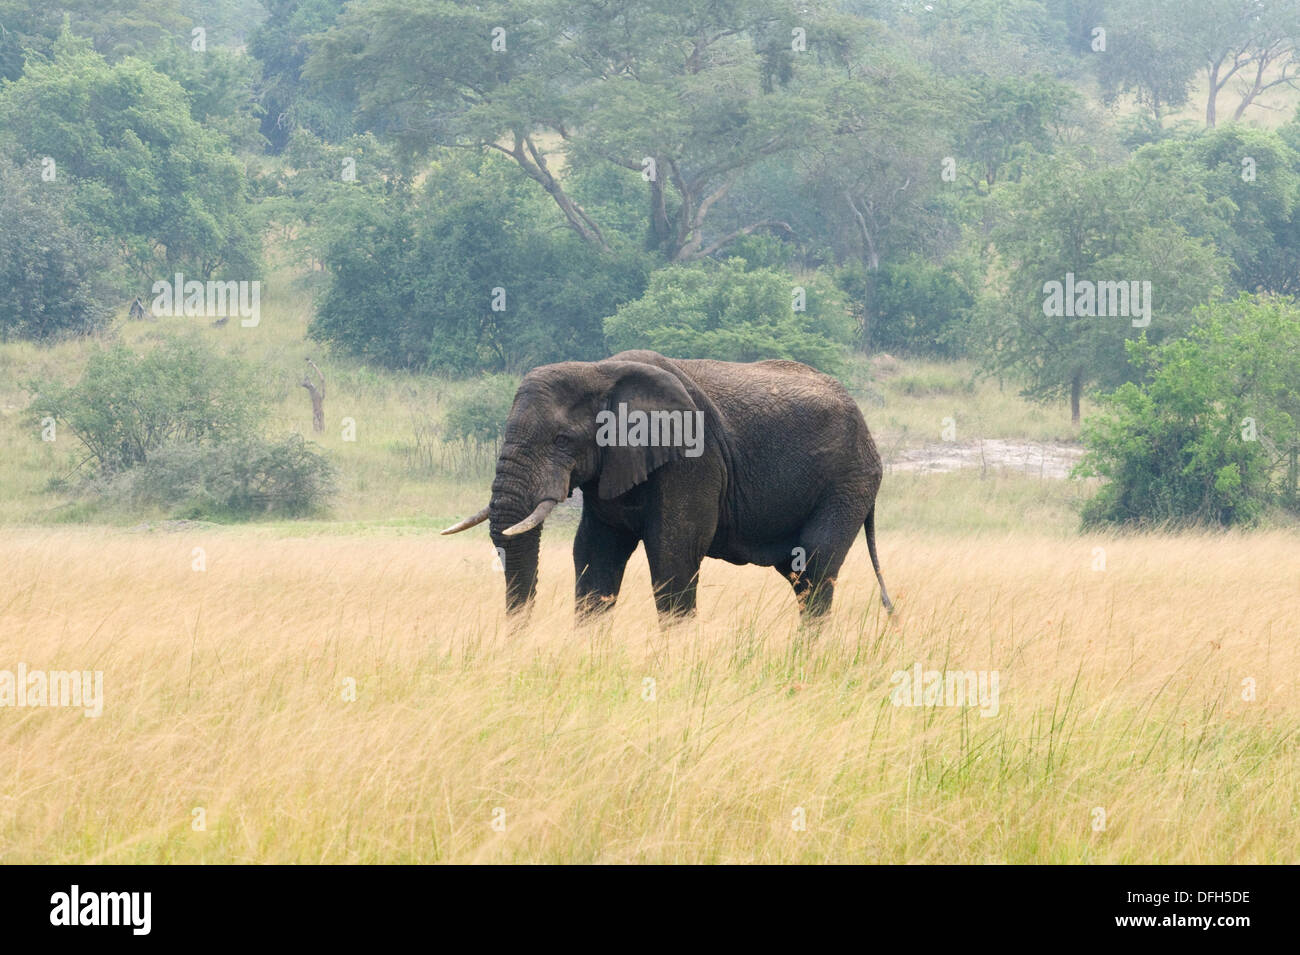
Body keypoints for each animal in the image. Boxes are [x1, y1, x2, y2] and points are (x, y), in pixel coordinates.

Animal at [443, 350, 892, 623]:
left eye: (562, 440)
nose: (517, 637)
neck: (600, 370)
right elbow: (594, 552)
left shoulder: (692, 459)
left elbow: (674, 551)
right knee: (799, 574)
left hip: (848, 481)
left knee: (815, 566)